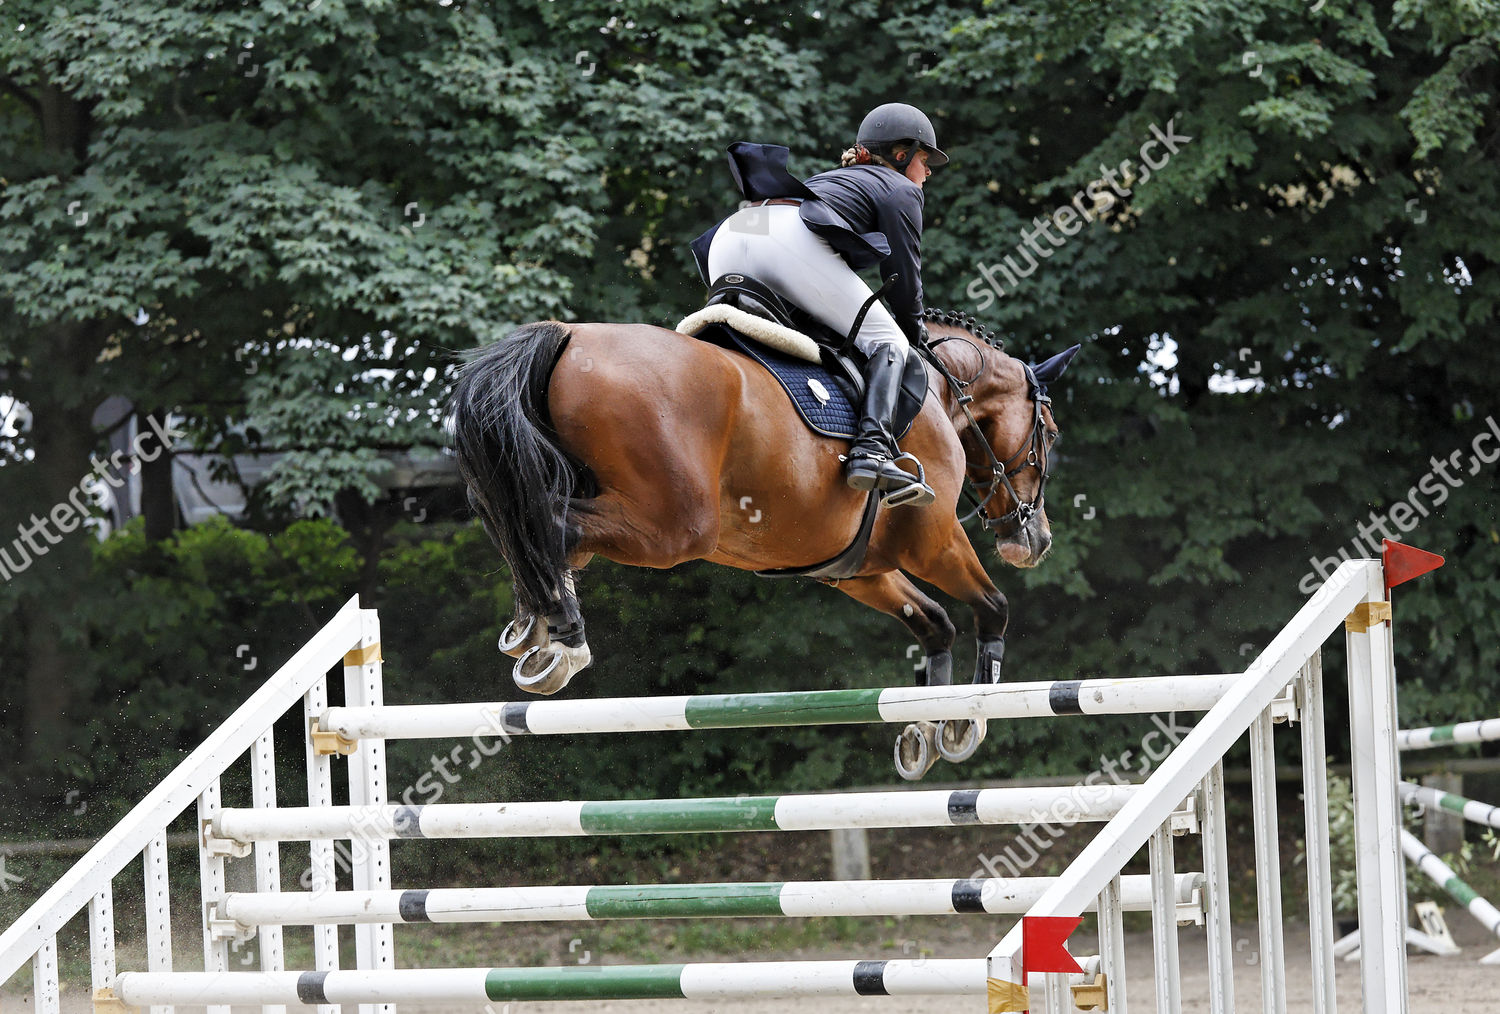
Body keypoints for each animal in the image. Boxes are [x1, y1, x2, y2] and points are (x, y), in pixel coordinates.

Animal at [447, 313, 1080, 780]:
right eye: (1048, 433)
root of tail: (569, 334)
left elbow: (933, 623)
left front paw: (926, 726)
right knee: (549, 524)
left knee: (526, 522)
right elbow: (993, 606)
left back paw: (534, 631)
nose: (1034, 539)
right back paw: (565, 641)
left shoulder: (857, 569)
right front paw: (966, 722)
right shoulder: (934, 541)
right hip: (673, 527)